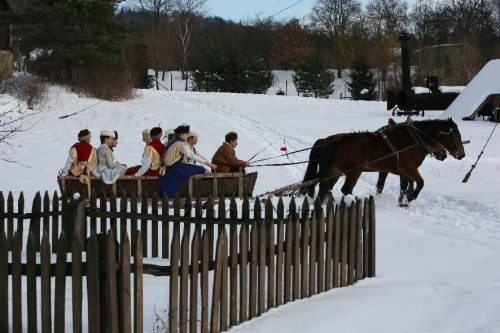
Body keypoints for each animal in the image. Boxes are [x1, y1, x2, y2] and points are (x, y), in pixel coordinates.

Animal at [302, 118, 466, 204]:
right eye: (456, 135)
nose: (462, 155)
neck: (414, 140)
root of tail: (332, 140)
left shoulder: (400, 171)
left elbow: (401, 186)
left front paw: (403, 202)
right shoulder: (410, 168)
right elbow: (420, 183)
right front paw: (410, 197)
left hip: (335, 171)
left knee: (325, 188)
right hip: (354, 171)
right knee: (345, 189)